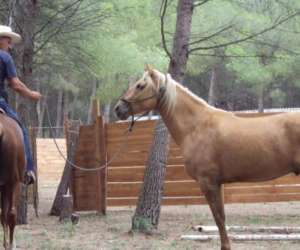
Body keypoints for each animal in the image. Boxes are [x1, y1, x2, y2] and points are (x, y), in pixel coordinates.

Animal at [115, 66, 300, 250]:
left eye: (140, 85)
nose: (118, 108)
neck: (197, 126)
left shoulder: (208, 182)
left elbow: (219, 218)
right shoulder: (218, 183)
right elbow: (221, 217)